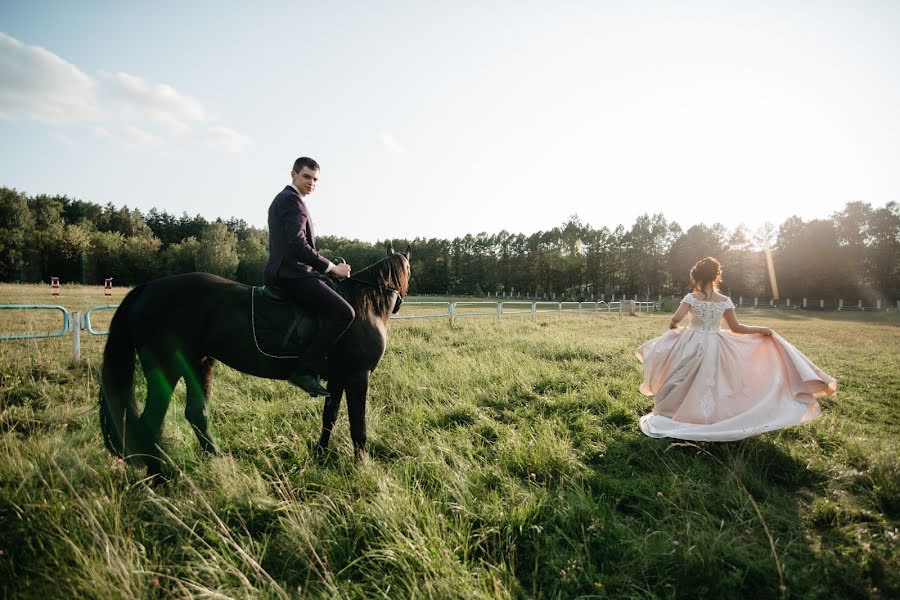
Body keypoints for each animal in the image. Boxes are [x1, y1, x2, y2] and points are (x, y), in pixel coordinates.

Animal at [100, 244, 410, 474]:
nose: (398, 304)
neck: (364, 303)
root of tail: (147, 288)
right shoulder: (358, 376)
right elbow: (358, 426)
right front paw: (361, 468)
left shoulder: (337, 378)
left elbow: (329, 419)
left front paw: (321, 456)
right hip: (167, 369)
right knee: (150, 423)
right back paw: (159, 478)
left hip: (199, 363)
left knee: (196, 414)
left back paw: (217, 463)